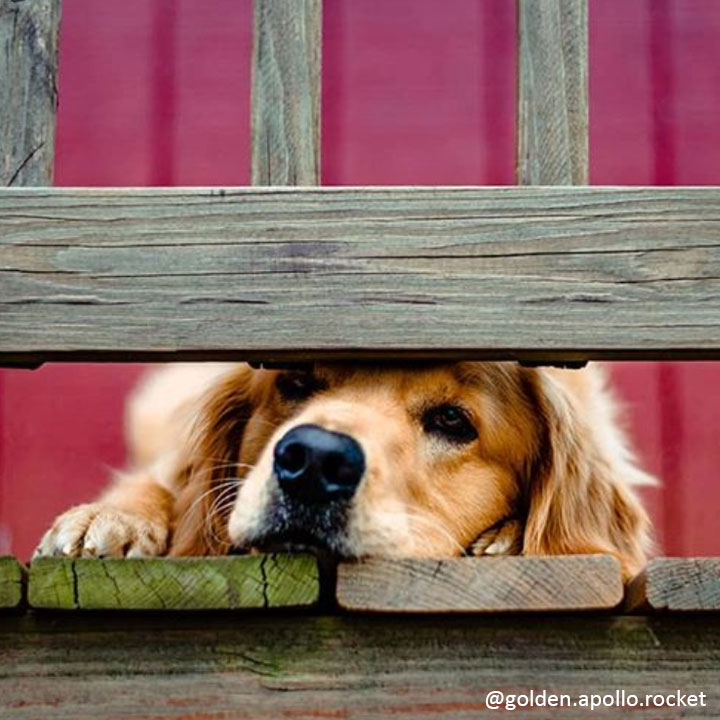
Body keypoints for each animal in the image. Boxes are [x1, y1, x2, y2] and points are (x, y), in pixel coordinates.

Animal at [33, 360, 652, 580]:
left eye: (453, 420)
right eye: (295, 382)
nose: (314, 460)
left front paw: (509, 536)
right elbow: (166, 481)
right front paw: (112, 517)